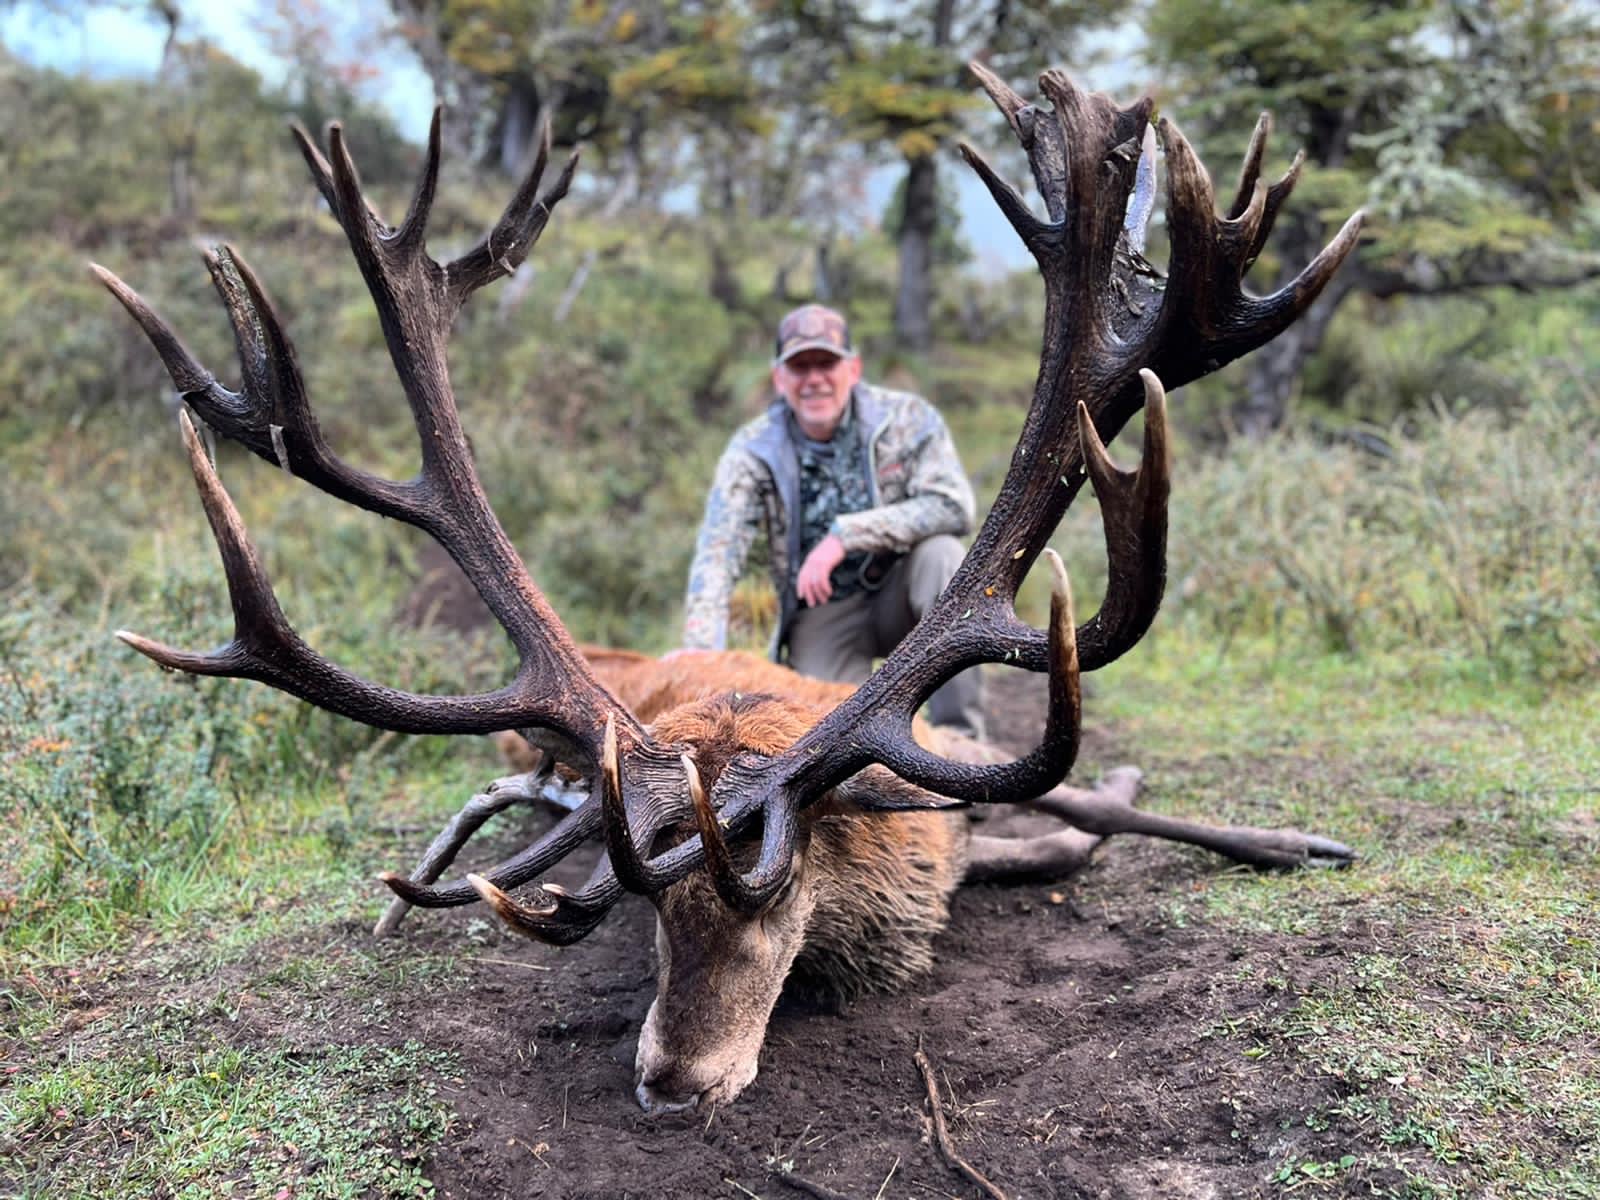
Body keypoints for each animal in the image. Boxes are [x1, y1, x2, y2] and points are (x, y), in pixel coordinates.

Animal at [95, 63, 1364, 1115]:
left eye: (778, 891)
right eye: (648, 915)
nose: (669, 1082)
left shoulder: (939, 792)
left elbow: (1082, 820)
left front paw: (1288, 839)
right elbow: (1065, 835)